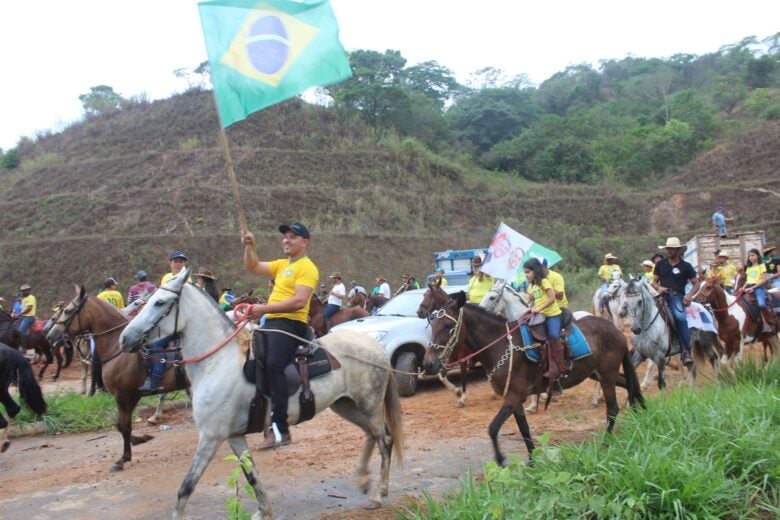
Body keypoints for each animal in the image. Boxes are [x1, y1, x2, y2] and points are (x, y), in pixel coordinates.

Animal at [46, 284, 188, 472]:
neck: (118, 347)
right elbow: (120, 425)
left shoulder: (122, 395)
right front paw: (141, 439)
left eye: (68, 311)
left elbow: (125, 426)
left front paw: (123, 458)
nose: (49, 335)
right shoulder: (132, 394)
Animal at [120, 270, 408, 516]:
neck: (218, 362)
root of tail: (374, 345)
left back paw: (378, 494)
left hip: (369, 404)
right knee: (371, 435)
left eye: (159, 303)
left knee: (385, 440)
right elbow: (251, 474)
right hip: (347, 405)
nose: (125, 338)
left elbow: (186, 487)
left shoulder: (211, 436)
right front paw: (263, 510)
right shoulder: (233, 436)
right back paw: (362, 479)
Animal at [424, 290, 644, 466]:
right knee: (631, 386)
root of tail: (616, 330)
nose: (428, 364)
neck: (502, 346)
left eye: (448, 327)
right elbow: (524, 429)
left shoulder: (515, 396)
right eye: (432, 325)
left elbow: (493, 428)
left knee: (612, 409)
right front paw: (532, 461)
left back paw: (606, 443)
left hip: (606, 376)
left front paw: (501, 459)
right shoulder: (514, 399)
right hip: (600, 374)